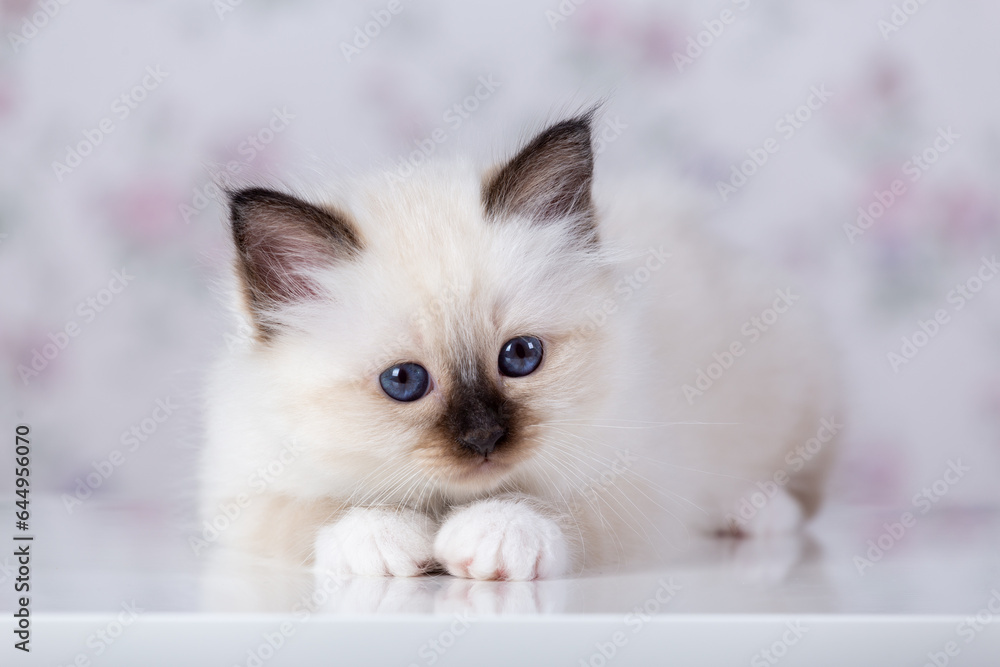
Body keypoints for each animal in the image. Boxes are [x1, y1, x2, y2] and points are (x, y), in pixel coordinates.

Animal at [199, 109, 840, 580]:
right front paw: (386, 540)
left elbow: (549, 503)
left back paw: (754, 511)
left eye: (520, 357)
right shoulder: (244, 498)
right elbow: (321, 512)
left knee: (805, 491)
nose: (484, 438)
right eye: (403, 381)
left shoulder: (637, 483)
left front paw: (496, 534)